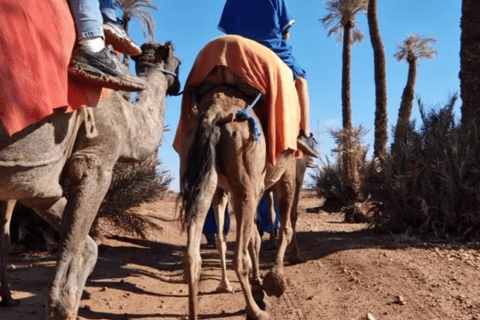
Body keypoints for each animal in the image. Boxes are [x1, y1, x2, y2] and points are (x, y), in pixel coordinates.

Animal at [0, 41, 180, 318]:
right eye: (178, 63)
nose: (179, 86)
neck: (127, 119)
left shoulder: (36, 183)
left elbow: (87, 247)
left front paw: (8, 299)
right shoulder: (95, 161)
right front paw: (65, 308)